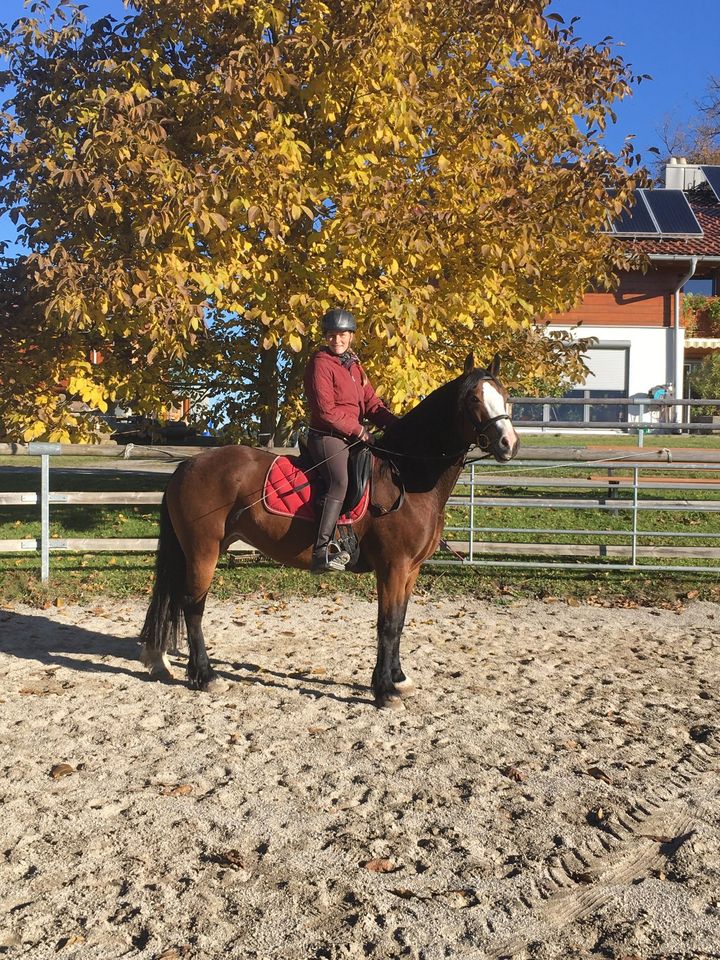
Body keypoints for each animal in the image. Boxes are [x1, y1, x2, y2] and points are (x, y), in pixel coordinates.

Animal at [141, 352, 520, 704]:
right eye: (473, 399)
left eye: (505, 396)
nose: (509, 444)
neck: (405, 475)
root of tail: (187, 465)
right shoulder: (393, 567)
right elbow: (387, 625)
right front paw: (384, 691)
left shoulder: (410, 569)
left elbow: (399, 622)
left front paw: (398, 678)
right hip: (203, 551)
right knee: (192, 607)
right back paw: (206, 676)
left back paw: (171, 664)